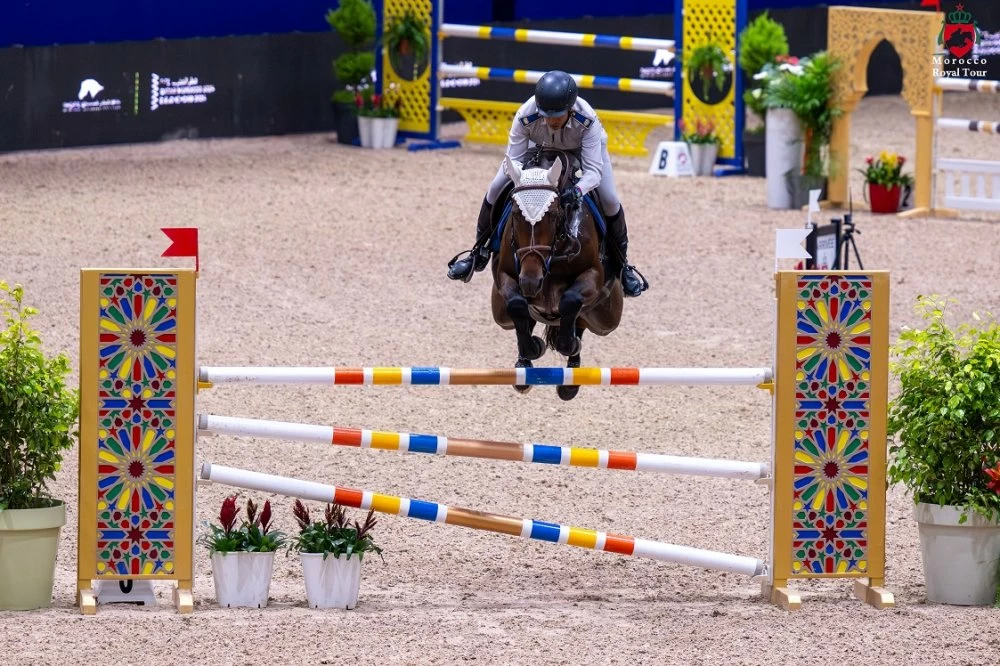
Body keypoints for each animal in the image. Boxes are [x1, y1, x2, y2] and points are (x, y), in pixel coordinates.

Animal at [488, 149, 620, 400]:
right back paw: (523, 367)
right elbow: (517, 305)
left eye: (553, 213)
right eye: (516, 213)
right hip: (500, 314)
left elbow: (571, 301)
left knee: (581, 320)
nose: (531, 282)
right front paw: (533, 348)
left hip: (607, 319)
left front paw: (569, 344)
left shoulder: (593, 275)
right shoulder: (505, 276)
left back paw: (570, 381)